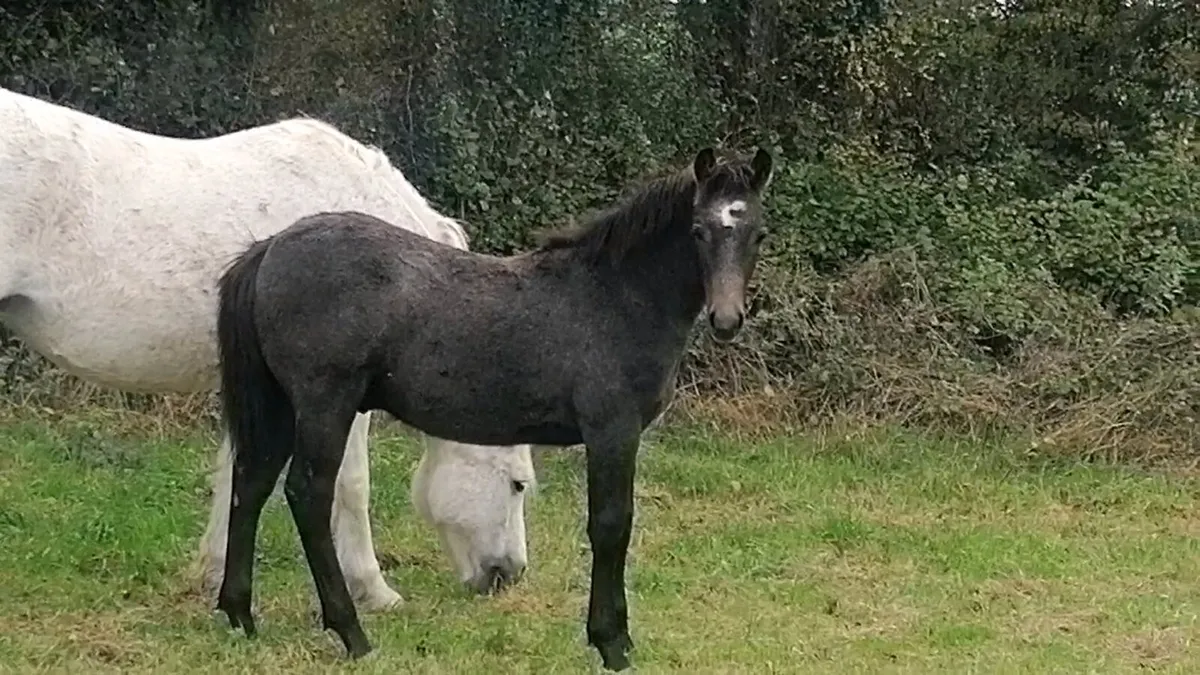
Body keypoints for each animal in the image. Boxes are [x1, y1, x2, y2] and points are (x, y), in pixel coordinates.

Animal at [0, 86, 534, 610]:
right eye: (517, 482)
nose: (507, 576)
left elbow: (236, 472)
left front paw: (214, 576)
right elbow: (352, 483)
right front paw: (374, 590)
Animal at [213, 146, 774, 670]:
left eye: (757, 234)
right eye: (699, 230)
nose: (727, 320)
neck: (615, 296)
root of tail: (269, 249)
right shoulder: (612, 430)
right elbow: (611, 526)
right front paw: (612, 643)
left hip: (282, 404)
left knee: (251, 483)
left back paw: (239, 613)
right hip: (324, 403)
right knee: (307, 494)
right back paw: (352, 633)